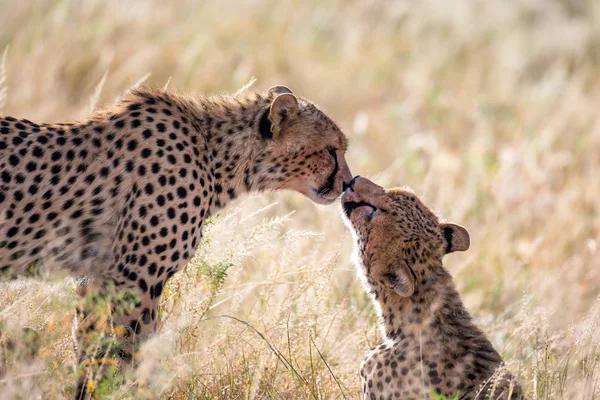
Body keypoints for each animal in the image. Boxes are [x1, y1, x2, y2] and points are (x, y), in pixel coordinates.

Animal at [0, 85, 354, 394]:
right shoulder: (132, 281)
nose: (349, 184)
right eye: (331, 150)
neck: (215, 155)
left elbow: (91, 350)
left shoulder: (96, 278)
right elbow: (135, 354)